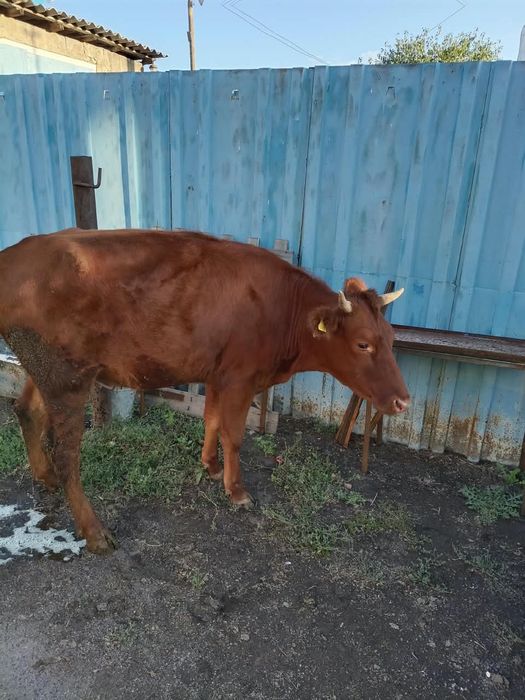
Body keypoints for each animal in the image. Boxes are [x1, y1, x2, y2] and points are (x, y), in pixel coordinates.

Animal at [0, 228, 409, 554]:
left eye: (390, 338)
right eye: (362, 344)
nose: (403, 401)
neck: (283, 309)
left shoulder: (217, 374)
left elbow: (211, 419)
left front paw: (210, 467)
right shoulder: (240, 378)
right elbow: (234, 435)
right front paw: (236, 490)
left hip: (44, 368)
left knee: (26, 409)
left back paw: (46, 477)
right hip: (67, 377)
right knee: (67, 454)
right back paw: (95, 532)